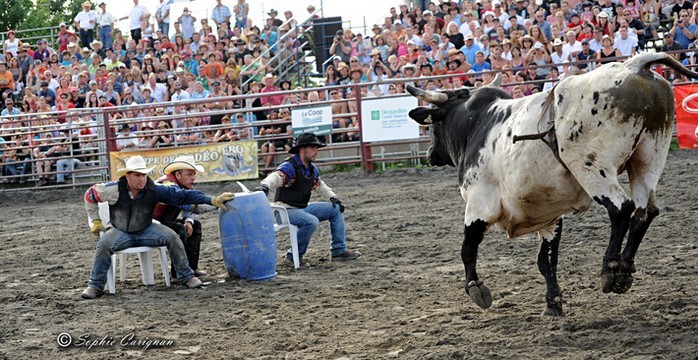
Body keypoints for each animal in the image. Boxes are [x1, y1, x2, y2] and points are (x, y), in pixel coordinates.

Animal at [406, 53, 696, 316]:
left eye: (434, 126)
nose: (430, 153)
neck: (476, 125)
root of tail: (632, 66)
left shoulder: (479, 204)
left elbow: (467, 248)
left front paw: (475, 287)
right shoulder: (549, 215)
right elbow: (546, 261)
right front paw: (553, 303)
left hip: (591, 167)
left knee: (621, 208)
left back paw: (611, 268)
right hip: (648, 157)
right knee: (644, 212)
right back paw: (624, 270)